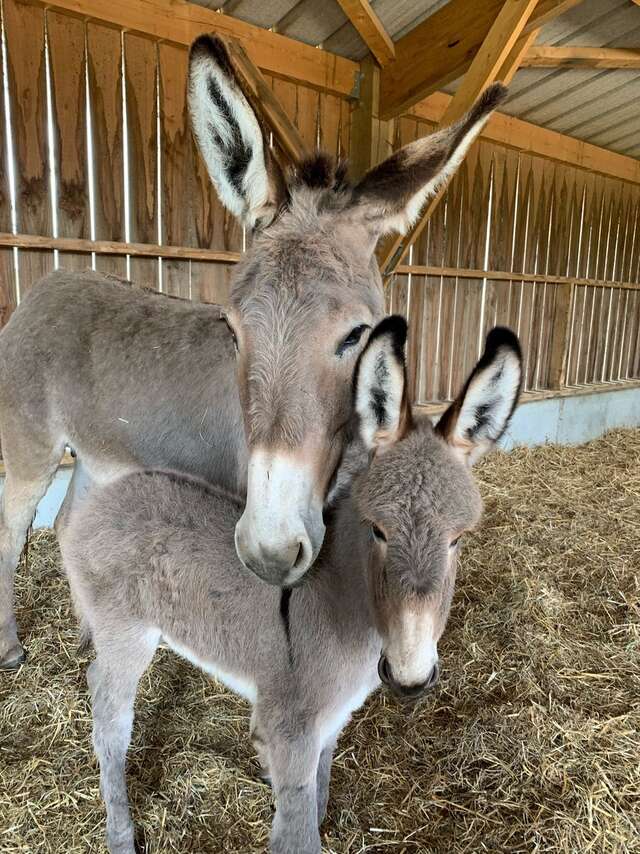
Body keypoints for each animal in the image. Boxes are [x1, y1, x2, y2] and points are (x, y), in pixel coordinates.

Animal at [57, 318, 524, 852]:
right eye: (377, 531)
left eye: (458, 538)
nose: (410, 675)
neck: (342, 607)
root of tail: (103, 499)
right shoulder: (291, 731)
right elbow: (297, 833)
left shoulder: (330, 723)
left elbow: (319, 788)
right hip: (126, 633)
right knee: (109, 718)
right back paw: (121, 834)